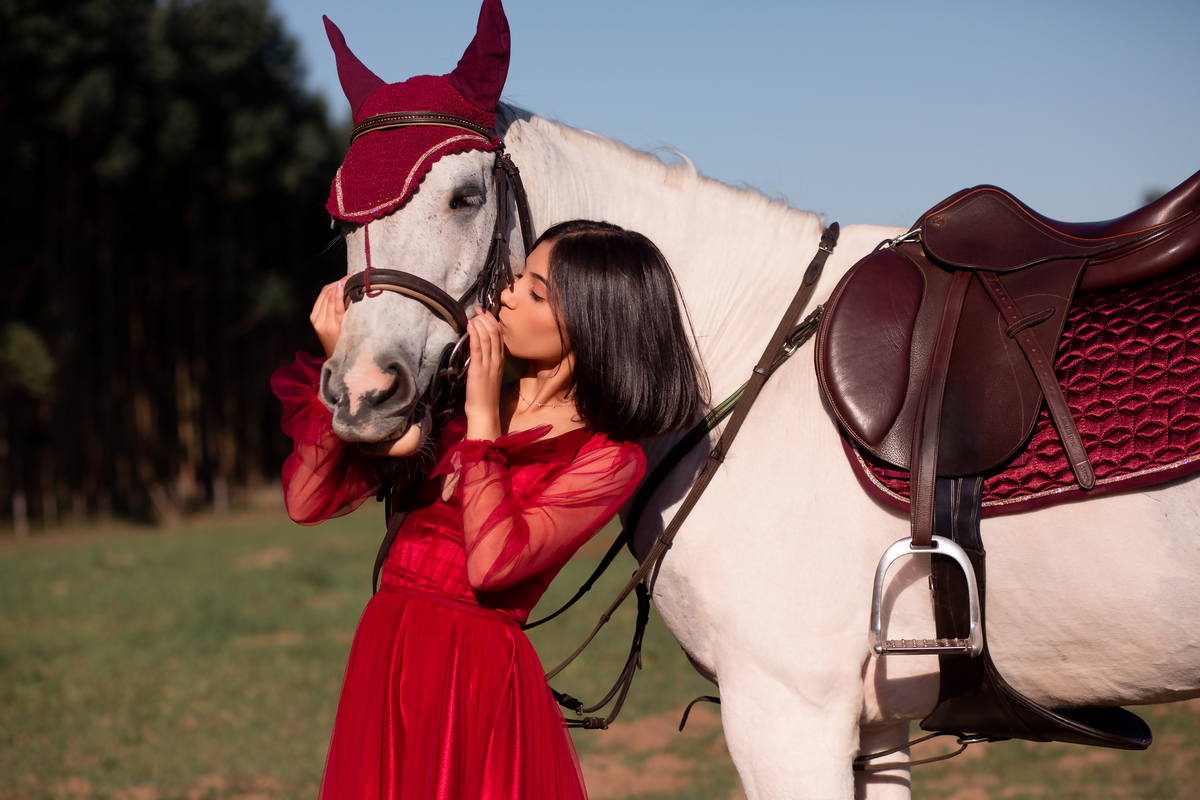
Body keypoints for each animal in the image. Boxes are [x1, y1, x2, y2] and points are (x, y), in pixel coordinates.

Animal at [317, 17, 1200, 800]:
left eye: (466, 197)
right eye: (337, 218)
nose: (363, 391)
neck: (748, 342)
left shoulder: (786, 712)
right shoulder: (874, 726)